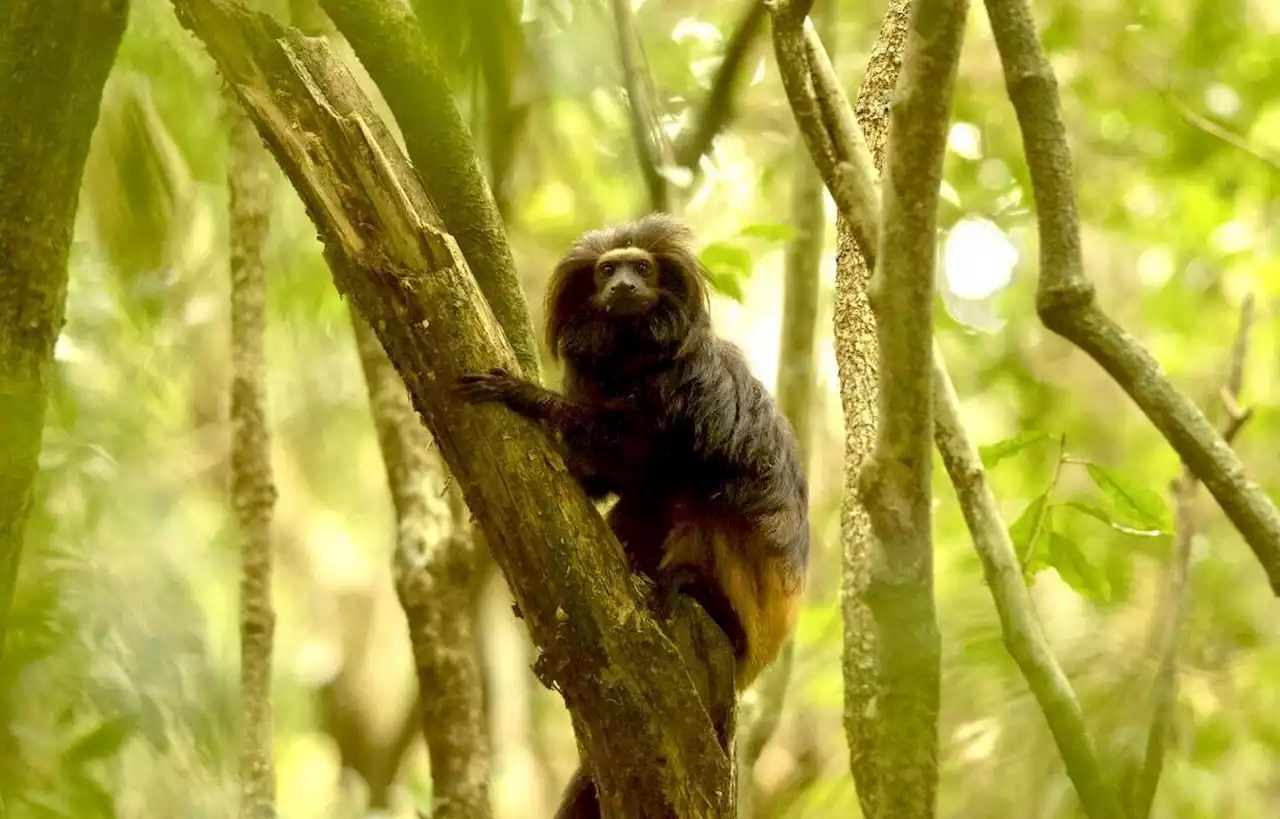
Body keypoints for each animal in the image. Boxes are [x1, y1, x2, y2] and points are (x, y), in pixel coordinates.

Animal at [455, 212, 803, 819]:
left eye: (641, 268)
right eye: (606, 271)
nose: (623, 286)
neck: (632, 360)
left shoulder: (689, 382)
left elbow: (641, 454)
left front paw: (525, 395)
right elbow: (609, 480)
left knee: (701, 500)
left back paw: (684, 589)